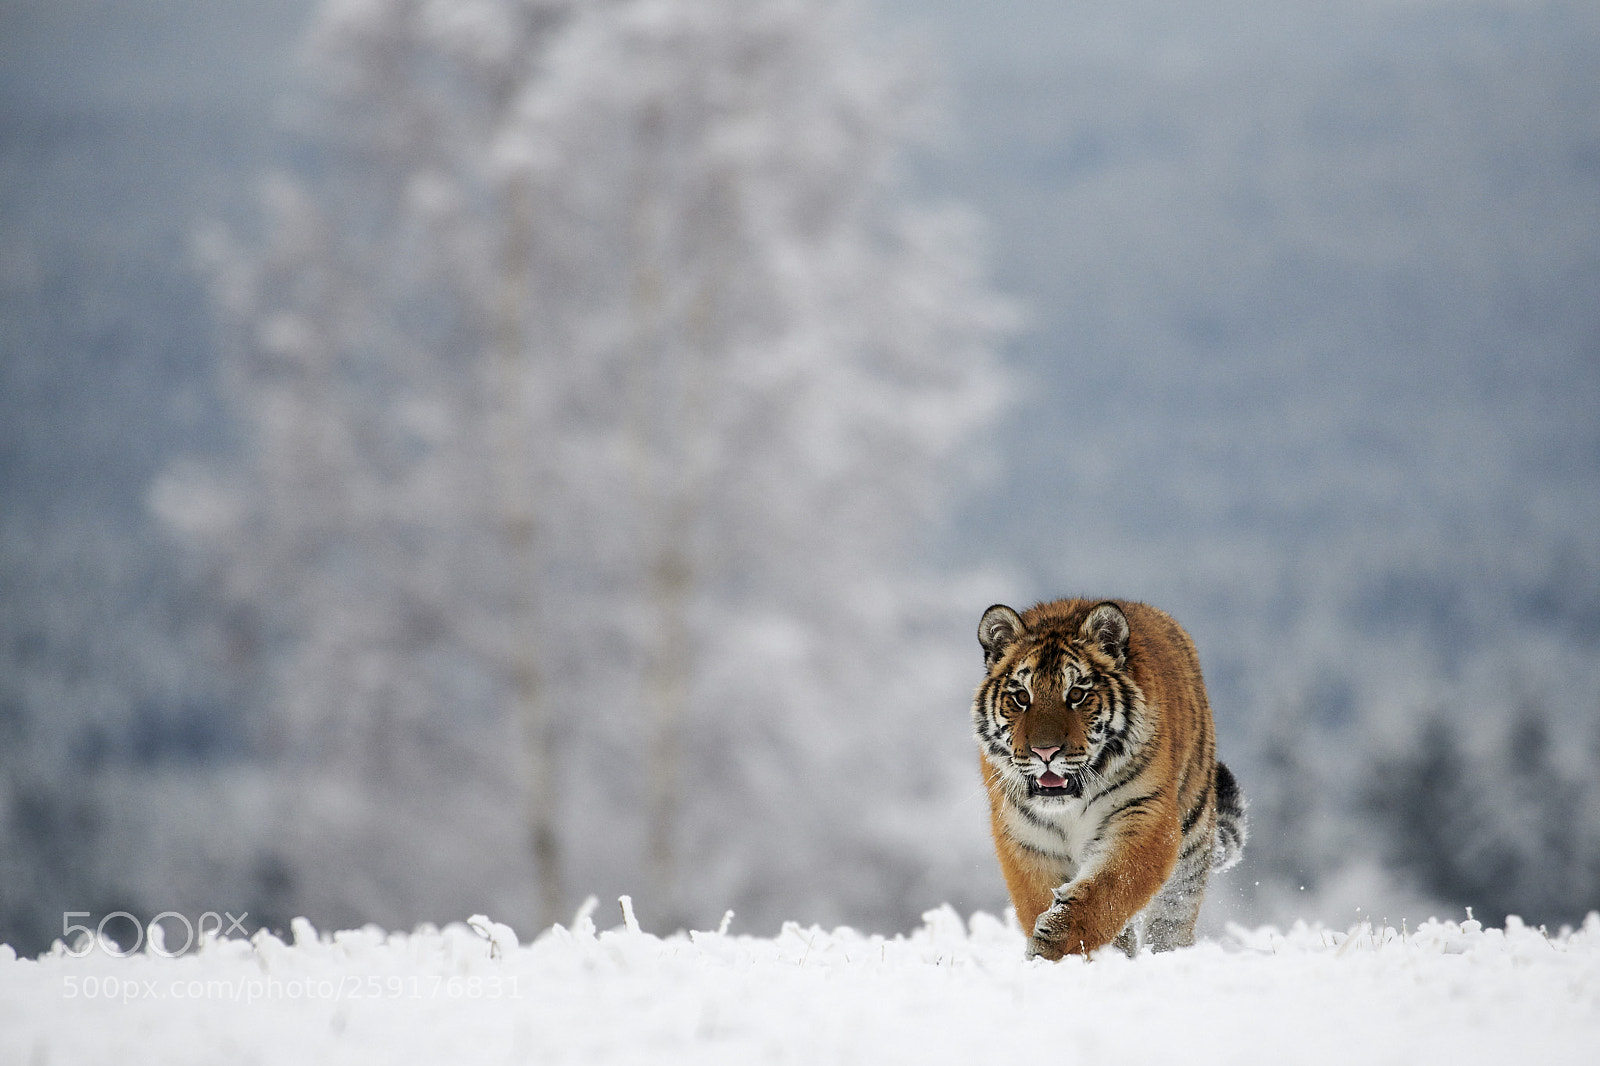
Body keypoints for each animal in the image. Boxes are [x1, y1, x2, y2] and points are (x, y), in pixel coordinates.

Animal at [972, 598, 1247, 959]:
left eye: (1076, 695)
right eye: (1021, 697)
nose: (1045, 751)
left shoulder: (1144, 816)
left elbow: (1109, 890)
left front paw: (1058, 944)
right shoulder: (1025, 836)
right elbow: (1036, 897)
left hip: (1192, 840)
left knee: (1172, 919)